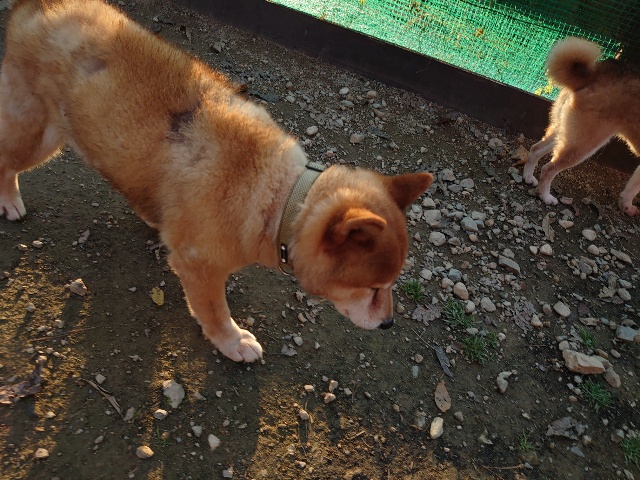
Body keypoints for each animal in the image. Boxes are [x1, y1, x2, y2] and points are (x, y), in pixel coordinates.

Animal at [0, 0, 433, 362]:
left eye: (390, 286)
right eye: (374, 288)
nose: (389, 323)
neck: (281, 202)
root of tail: (39, 4)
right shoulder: (200, 267)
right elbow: (215, 311)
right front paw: (232, 340)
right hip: (40, 136)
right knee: (6, 162)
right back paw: (9, 201)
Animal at [521, 36, 640, 215]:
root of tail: (593, 74)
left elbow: (632, 188)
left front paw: (626, 205)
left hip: (565, 132)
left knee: (536, 149)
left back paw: (528, 177)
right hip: (584, 143)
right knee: (548, 169)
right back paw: (545, 197)